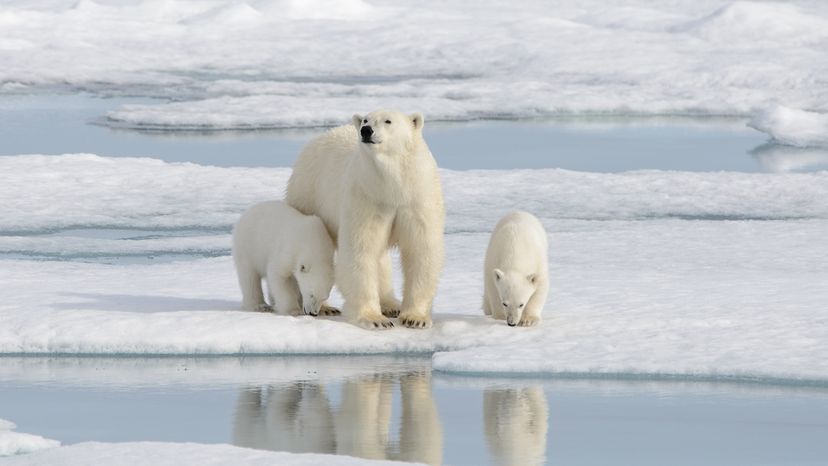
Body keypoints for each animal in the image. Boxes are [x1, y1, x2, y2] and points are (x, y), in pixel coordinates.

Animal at [286, 110, 445, 330]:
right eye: (366, 120)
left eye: (388, 121)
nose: (366, 130)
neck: (392, 187)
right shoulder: (366, 196)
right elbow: (361, 249)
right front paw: (375, 319)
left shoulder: (416, 198)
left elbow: (420, 250)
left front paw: (415, 318)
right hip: (309, 194)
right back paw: (324, 306)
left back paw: (390, 304)